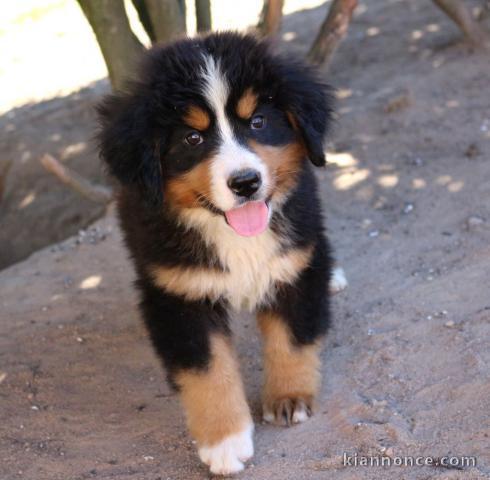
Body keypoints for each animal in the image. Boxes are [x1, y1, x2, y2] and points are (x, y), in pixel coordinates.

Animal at [98, 31, 336, 474]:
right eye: (193, 138)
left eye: (258, 121)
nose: (245, 182)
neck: (232, 233)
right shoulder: (179, 294)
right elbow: (209, 371)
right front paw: (224, 442)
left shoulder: (294, 264)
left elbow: (292, 336)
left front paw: (288, 397)